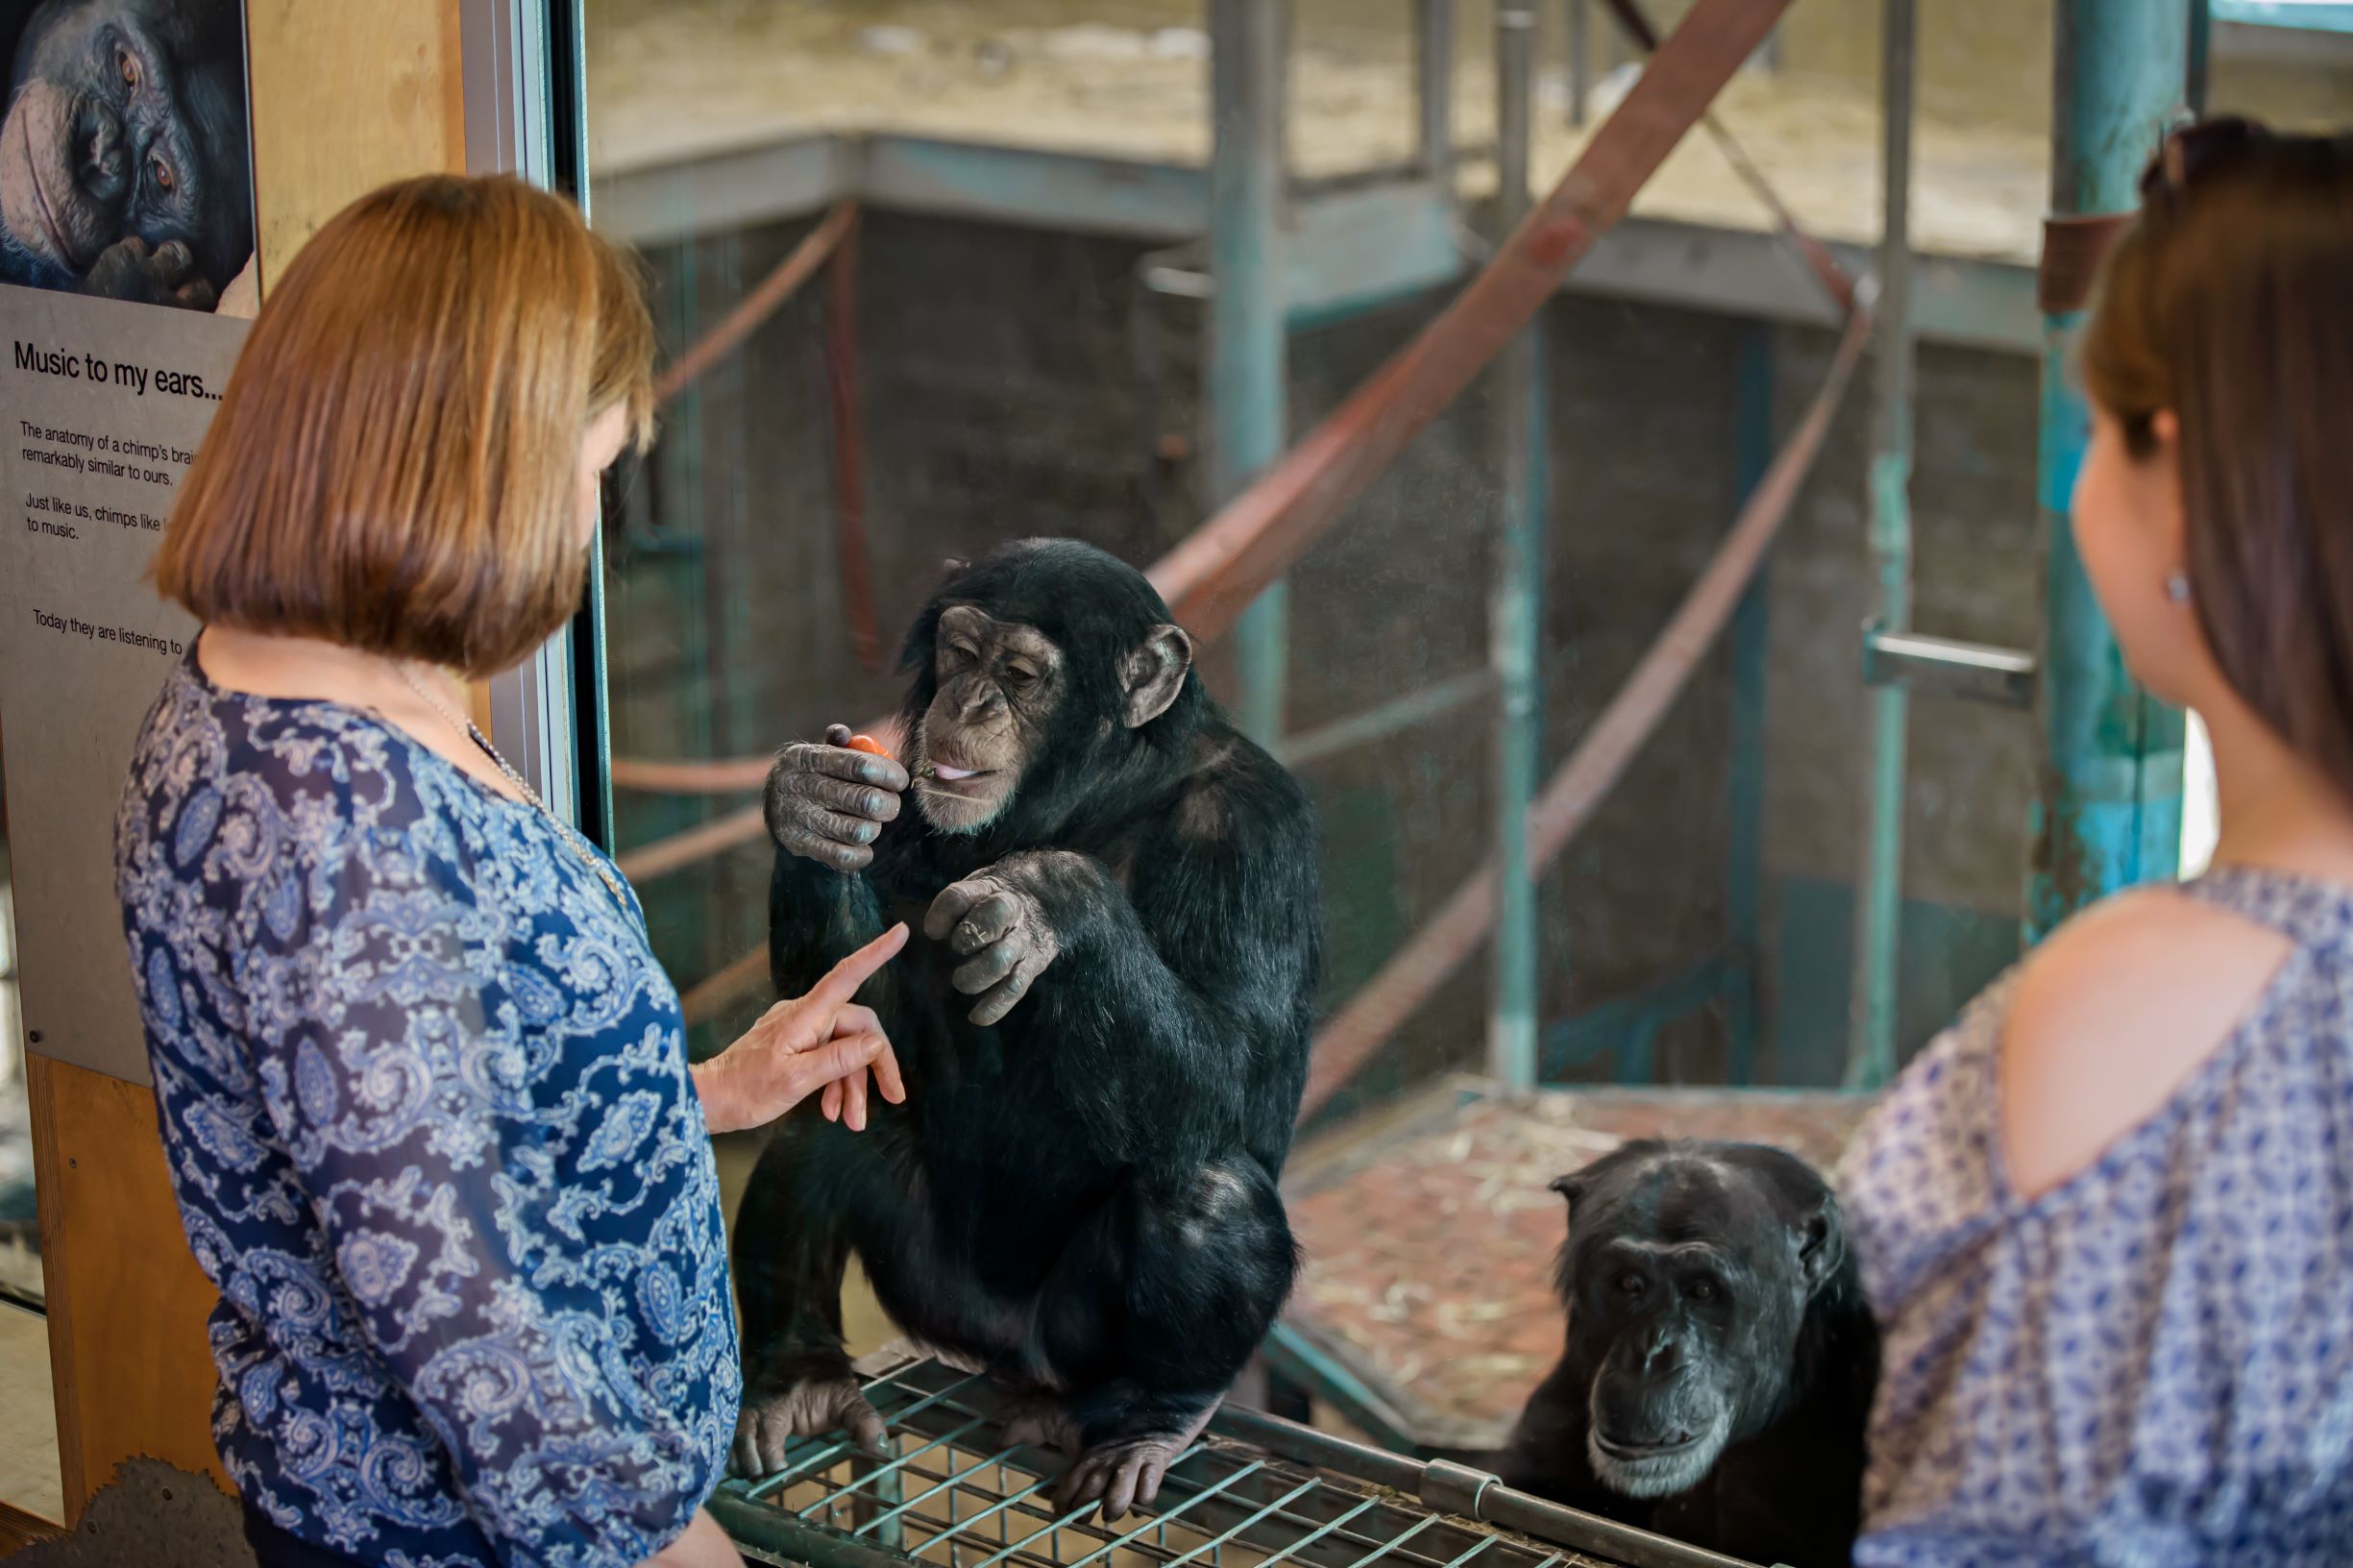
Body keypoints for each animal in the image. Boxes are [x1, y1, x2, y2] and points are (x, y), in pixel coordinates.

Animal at [734, 534, 1327, 1516]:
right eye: (959, 654)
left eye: (1016, 674)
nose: (967, 701)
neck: (1098, 796)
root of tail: (1010, 1362)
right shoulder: (916, 807)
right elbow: (859, 1015)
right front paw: (812, 806)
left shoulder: (1251, 834)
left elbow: (1239, 1074)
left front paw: (1051, 898)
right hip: (932, 1290)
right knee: (819, 1109)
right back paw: (800, 1373)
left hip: (1074, 1338)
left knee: (1204, 1186)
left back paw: (1158, 1417)